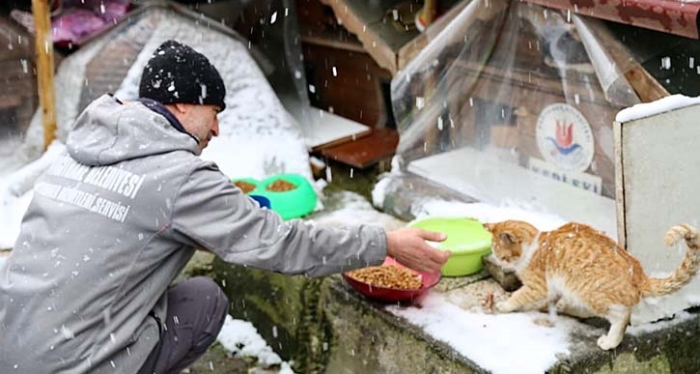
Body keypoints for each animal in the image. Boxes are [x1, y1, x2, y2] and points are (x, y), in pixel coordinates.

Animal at [482, 219, 700, 350]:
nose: (497, 261)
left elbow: (518, 295)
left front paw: (504, 305)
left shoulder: (537, 286)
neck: (535, 246)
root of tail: (639, 275)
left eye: (500, 254)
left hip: (588, 292)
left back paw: (610, 341)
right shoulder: (551, 290)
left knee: (622, 316)